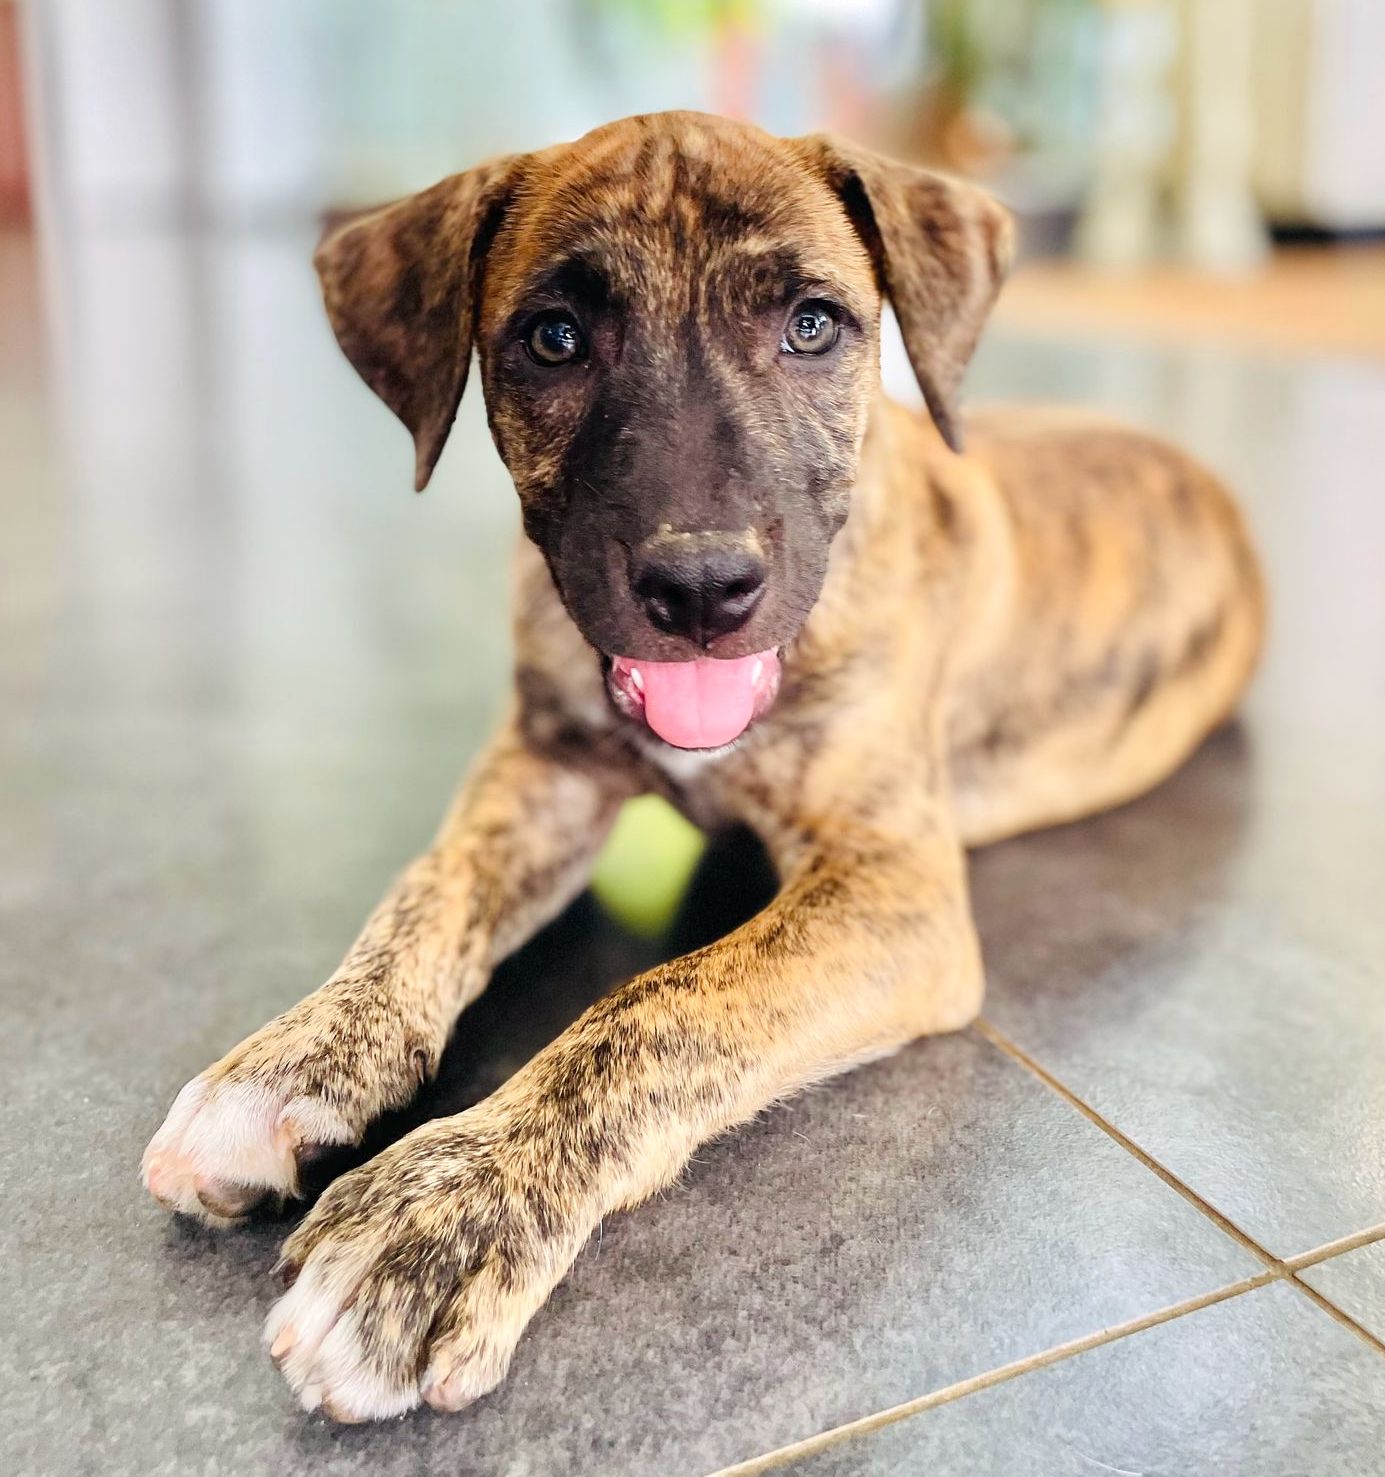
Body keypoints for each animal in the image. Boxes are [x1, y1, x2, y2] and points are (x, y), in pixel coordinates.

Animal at [140, 115, 1263, 1417]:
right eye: (554, 337)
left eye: (813, 324)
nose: (698, 590)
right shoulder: (542, 774)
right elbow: (419, 902)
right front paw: (293, 1062)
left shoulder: (892, 885)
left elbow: (657, 1014)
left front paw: (444, 1213)